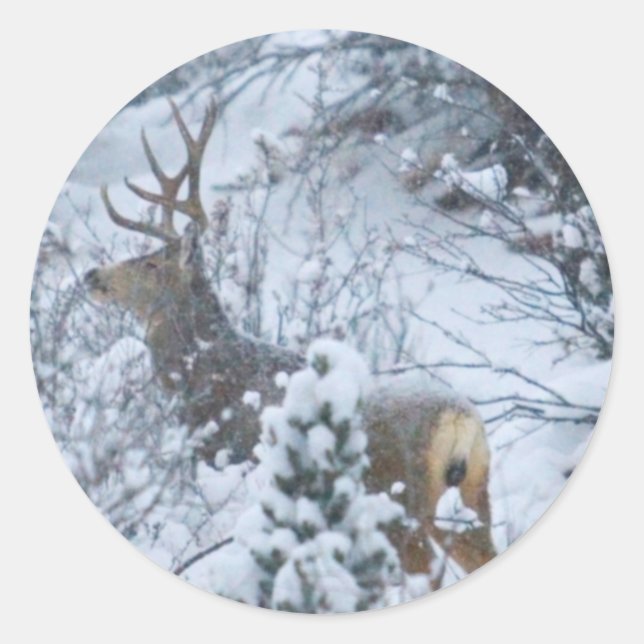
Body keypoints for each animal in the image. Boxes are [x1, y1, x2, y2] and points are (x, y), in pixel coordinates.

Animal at [83, 99, 496, 582]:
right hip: (471, 500)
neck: (202, 376)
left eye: (151, 264)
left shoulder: (223, 455)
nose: (92, 275)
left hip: (396, 501)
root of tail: (459, 422)